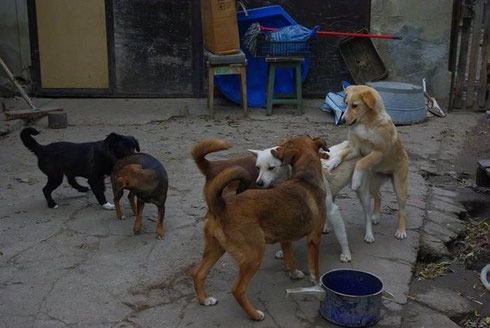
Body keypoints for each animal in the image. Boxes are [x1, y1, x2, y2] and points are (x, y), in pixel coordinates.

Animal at [193, 135, 328, 320]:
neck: (306, 177)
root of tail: (221, 206)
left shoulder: (286, 238)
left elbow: (290, 258)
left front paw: (293, 273)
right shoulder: (314, 238)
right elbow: (314, 268)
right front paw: (317, 283)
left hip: (216, 248)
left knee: (198, 273)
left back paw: (204, 299)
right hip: (253, 255)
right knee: (237, 289)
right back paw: (254, 314)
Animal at [330, 84, 410, 238]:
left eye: (355, 105)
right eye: (346, 103)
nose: (342, 120)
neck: (366, 124)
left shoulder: (378, 152)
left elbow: (361, 162)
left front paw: (355, 180)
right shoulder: (355, 149)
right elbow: (342, 154)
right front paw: (331, 162)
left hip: (400, 186)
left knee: (402, 209)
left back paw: (401, 230)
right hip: (372, 182)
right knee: (378, 196)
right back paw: (376, 216)